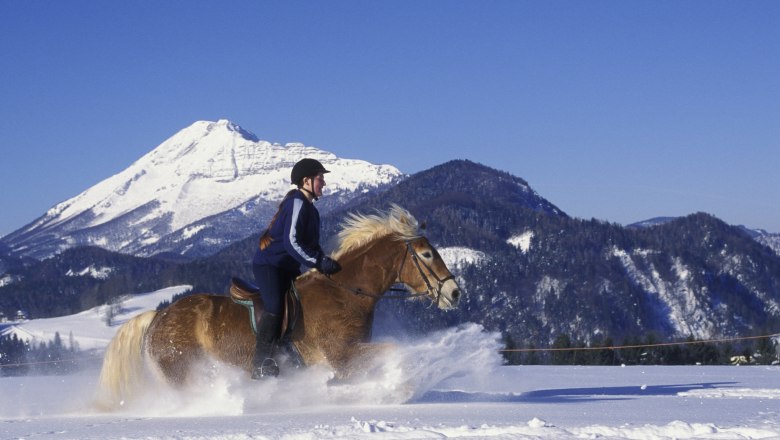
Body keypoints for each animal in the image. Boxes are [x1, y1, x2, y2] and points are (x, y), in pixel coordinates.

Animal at [97, 206, 464, 410]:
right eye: (426, 254)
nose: (455, 292)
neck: (345, 293)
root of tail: (159, 315)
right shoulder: (342, 355)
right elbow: (393, 352)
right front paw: (398, 387)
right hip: (182, 370)